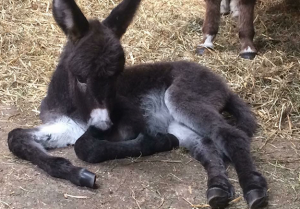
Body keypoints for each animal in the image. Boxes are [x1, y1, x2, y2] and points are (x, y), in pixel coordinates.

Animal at [8, 0, 268, 208]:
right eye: (81, 78)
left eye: (117, 76)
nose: (103, 124)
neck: (73, 108)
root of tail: (223, 84)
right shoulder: (65, 126)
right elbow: (16, 137)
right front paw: (74, 173)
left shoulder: (130, 120)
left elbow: (85, 146)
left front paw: (155, 142)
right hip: (179, 124)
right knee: (208, 145)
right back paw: (218, 189)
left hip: (182, 99)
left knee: (230, 135)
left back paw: (254, 189)